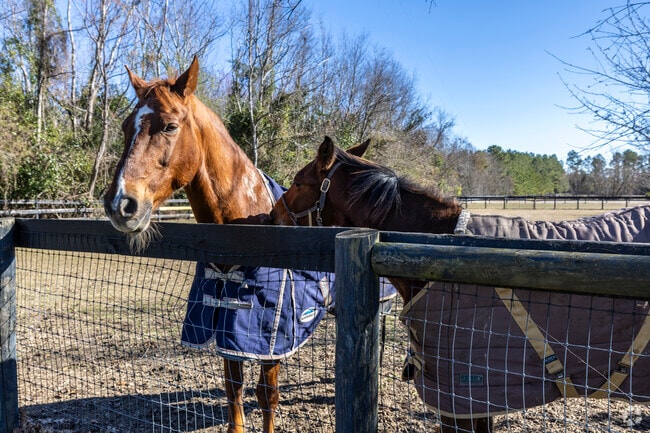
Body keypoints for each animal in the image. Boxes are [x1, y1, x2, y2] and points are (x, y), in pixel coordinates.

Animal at [104, 56, 295, 433]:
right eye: (124, 127)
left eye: (169, 126)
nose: (120, 204)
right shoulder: (228, 334)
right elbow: (234, 393)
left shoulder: (271, 344)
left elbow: (268, 397)